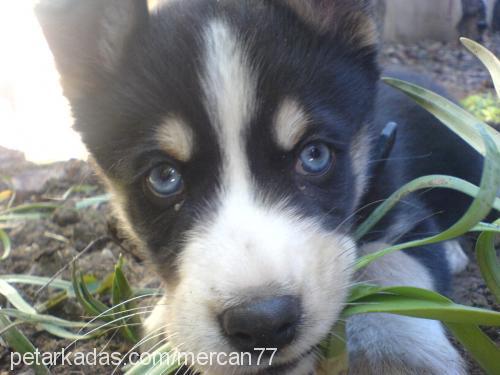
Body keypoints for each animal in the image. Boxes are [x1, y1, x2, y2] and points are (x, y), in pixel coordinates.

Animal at [35, 1, 480, 374]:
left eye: (314, 155)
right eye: (164, 177)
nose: (263, 324)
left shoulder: (399, 205)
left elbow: (394, 266)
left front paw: (395, 350)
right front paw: (165, 321)